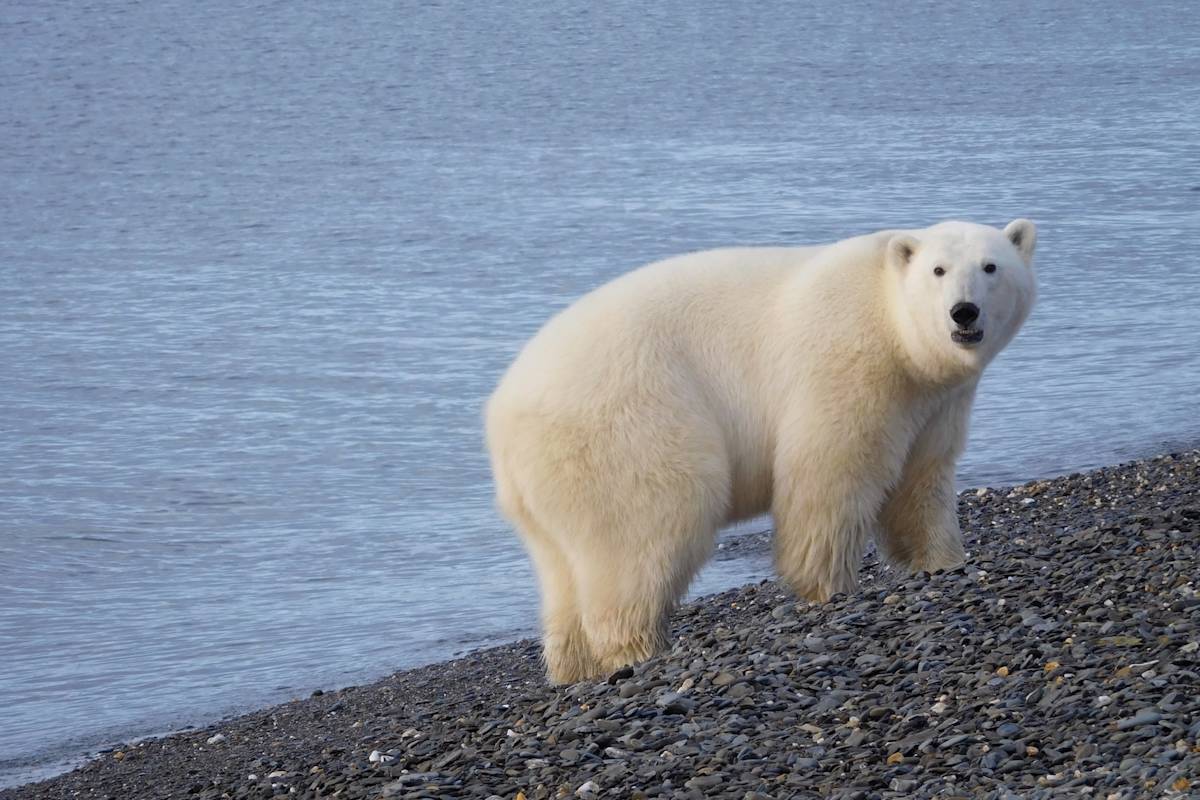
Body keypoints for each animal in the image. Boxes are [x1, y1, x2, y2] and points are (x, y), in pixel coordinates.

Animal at [486, 219, 1038, 683]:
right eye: (938, 270)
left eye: (990, 267)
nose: (963, 311)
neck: (895, 331)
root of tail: (501, 414)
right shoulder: (848, 364)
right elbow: (831, 471)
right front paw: (829, 587)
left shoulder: (934, 401)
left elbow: (921, 480)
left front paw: (942, 562)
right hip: (628, 424)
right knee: (651, 524)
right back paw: (639, 648)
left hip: (547, 486)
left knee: (563, 569)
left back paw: (574, 666)